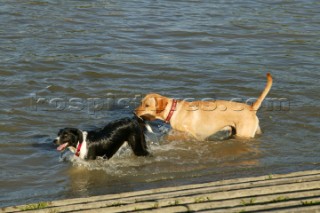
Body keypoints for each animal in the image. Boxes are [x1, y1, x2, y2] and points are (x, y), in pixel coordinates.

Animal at [135, 73, 272, 140]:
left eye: (147, 105)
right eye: (141, 102)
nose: (134, 112)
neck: (174, 111)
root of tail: (251, 107)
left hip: (243, 133)